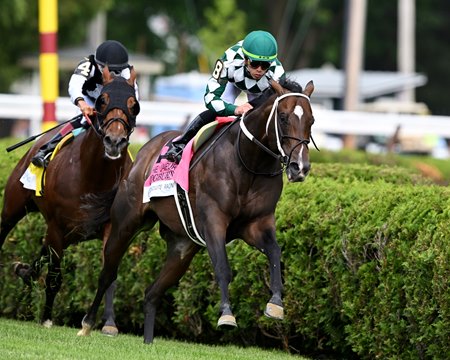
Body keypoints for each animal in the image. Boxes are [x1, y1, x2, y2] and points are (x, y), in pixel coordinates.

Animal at [0, 65, 140, 334]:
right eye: (102, 100)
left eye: (134, 104)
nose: (114, 141)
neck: (94, 175)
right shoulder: (57, 226)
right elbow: (55, 277)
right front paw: (46, 318)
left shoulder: (110, 227)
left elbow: (109, 275)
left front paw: (103, 323)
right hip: (15, 207)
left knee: (43, 250)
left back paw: (25, 271)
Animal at [78, 78, 316, 344]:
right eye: (283, 117)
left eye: (311, 120)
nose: (299, 167)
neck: (249, 163)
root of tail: (142, 154)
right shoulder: (213, 220)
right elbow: (222, 267)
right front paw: (226, 316)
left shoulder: (257, 224)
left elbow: (275, 254)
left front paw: (275, 304)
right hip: (125, 224)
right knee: (107, 273)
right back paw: (88, 324)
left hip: (182, 247)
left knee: (151, 293)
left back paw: (148, 341)